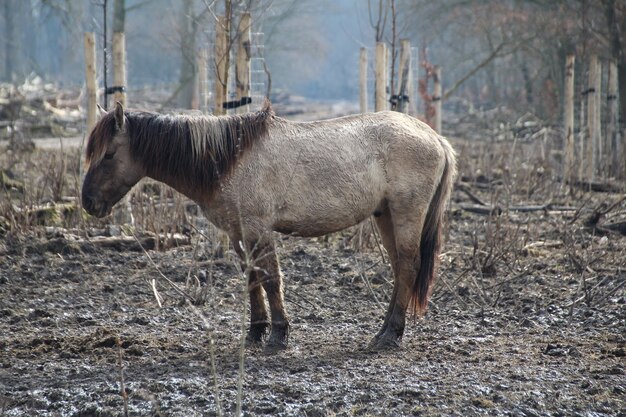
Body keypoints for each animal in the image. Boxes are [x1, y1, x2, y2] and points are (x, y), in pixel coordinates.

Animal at [81, 101, 454, 352]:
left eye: (109, 154)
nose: (88, 203)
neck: (230, 158)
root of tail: (435, 138)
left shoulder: (258, 229)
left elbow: (271, 278)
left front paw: (278, 334)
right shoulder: (239, 233)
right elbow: (252, 278)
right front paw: (255, 332)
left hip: (405, 214)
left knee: (408, 266)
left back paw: (390, 335)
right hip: (386, 216)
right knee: (400, 269)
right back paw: (384, 332)